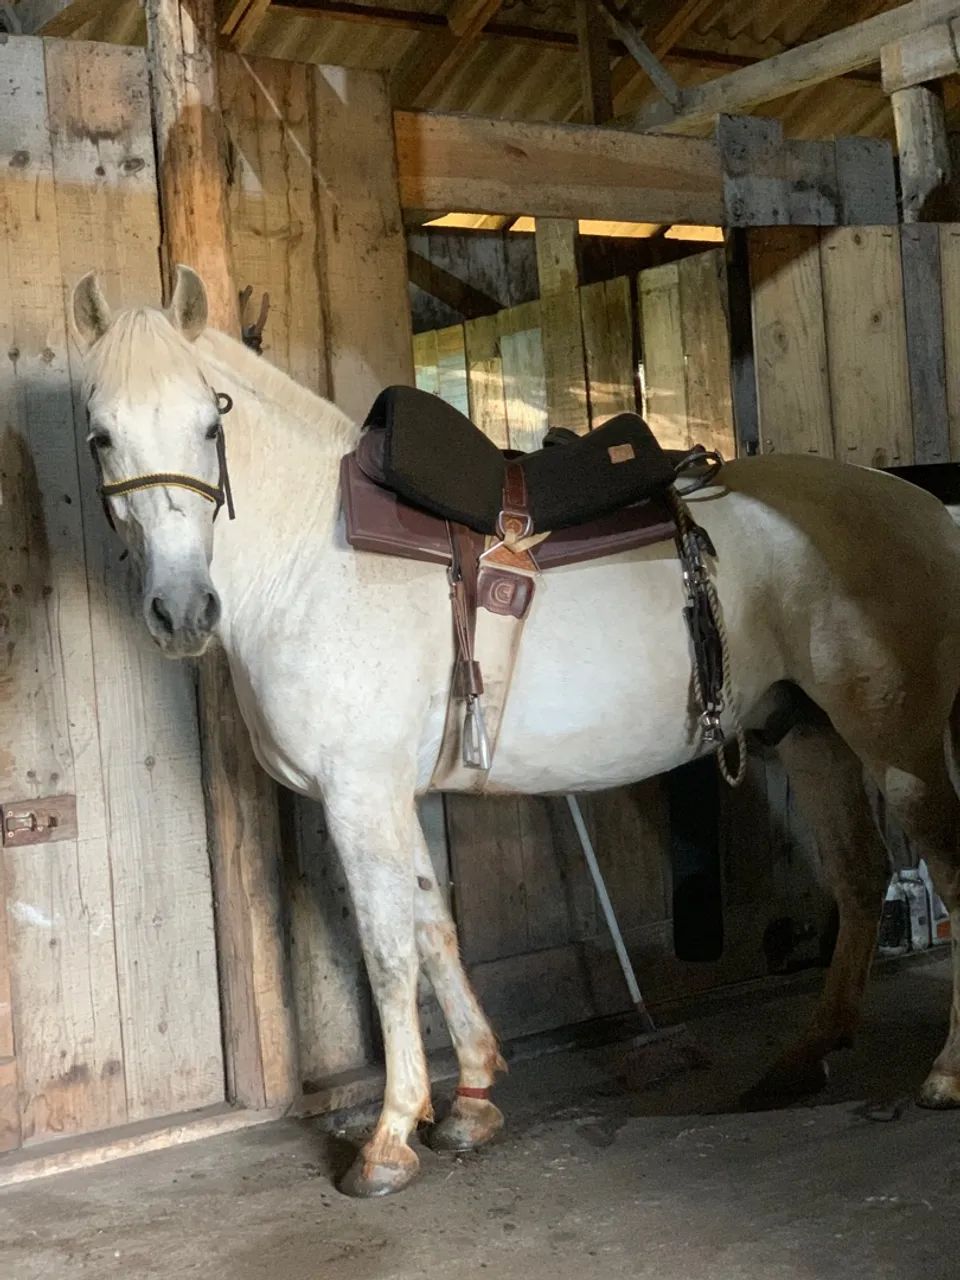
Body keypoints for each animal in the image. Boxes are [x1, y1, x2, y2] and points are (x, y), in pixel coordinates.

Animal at [70, 265, 960, 1198]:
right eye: (101, 436)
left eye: (210, 425)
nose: (182, 611)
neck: (316, 556)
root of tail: (923, 507)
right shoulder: (390, 796)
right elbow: (433, 929)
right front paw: (469, 1100)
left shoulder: (358, 795)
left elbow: (389, 950)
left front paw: (390, 1139)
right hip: (812, 737)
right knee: (860, 877)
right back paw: (802, 1060)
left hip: (898, 747)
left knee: (948, 867)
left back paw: (944, 1073)